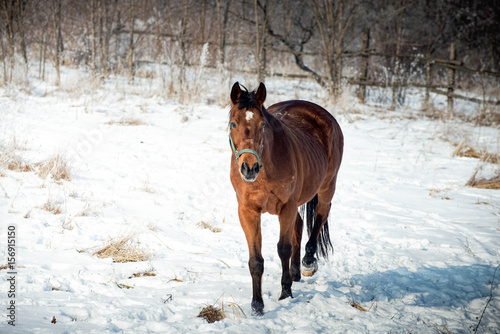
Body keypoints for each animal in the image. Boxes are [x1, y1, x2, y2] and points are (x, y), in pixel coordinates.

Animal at [228, 82, 342, 314]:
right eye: (233, 124)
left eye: (262, 124)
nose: (249, 168)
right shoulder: (247, 211)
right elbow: (256, 260)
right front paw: (257, 305)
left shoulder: (287, 207)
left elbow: (283, 249)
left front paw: (286, 293)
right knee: (299, 225)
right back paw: (296, 272)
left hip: (327, 187)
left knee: (320, 216)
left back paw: (307, 263)